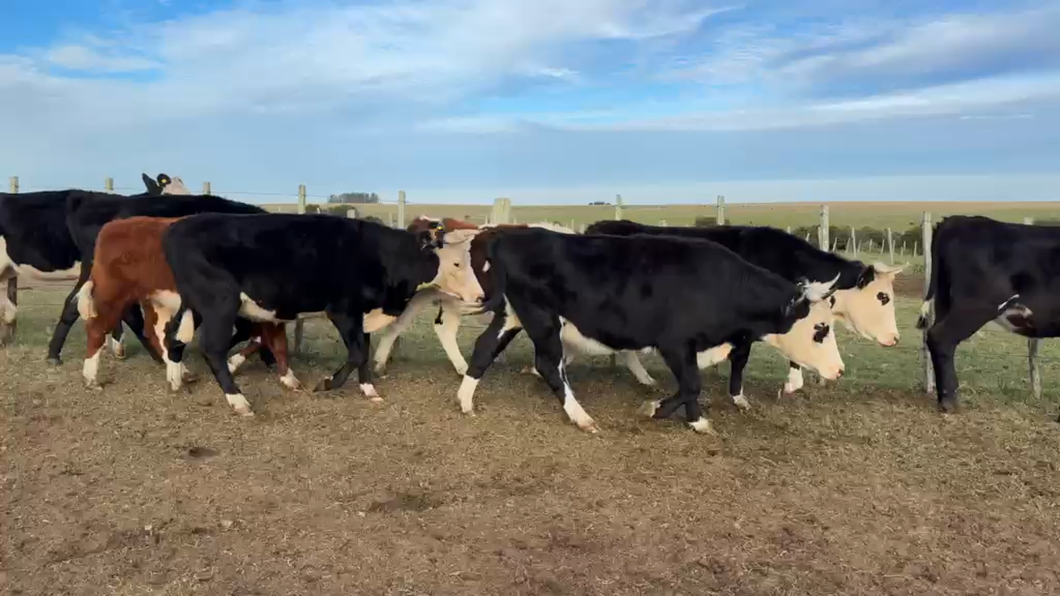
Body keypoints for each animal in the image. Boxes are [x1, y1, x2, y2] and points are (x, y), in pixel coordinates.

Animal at [75, 216, 292, 393]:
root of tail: (113, 226)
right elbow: (257, 335)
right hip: (112, 293)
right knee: (97, 327)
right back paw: (91, 378)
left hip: (154, 299)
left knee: (154, 332)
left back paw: (182, 372)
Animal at [159, 213, 484, 416]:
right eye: (456, 263)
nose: (480, 296)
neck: (383, 256)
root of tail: (177, 228)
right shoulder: (343, 312)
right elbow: (357, 354)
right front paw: (327, 383)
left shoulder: (362, 316)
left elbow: (363, 353)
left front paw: (369, 390)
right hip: (219, 304)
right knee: (212, 349)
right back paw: (238, 401)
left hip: (195, 305)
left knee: (173, 335)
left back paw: (175, 378)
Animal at [455, 227, 844, 434]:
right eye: (820, 328)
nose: (839, 370)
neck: (719, 284)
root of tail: (511, 234)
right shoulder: (675, 342)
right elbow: (691, 384)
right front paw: (658, 410)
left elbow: (691, 384)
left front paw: (694, 420)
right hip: (542, 319)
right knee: (549, 365)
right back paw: (581, 417)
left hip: (512, 315)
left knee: (484, 347)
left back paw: (465, 400)